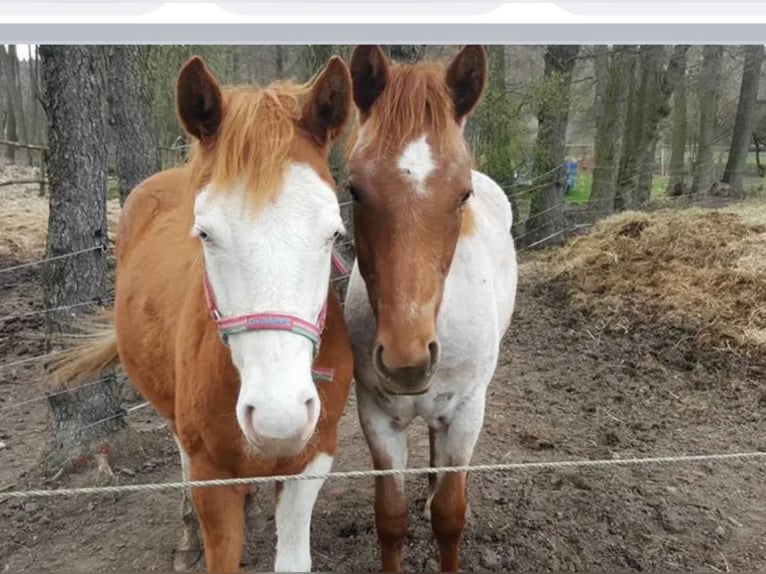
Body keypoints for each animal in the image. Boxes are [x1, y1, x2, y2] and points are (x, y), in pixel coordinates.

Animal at [342, 45, 518, 571]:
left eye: (462, 194)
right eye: (354, 189)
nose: (408, 361)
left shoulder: (467, 411)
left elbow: (449, 515)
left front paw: (442, 503)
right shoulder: (377, 415)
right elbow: (390, 516)